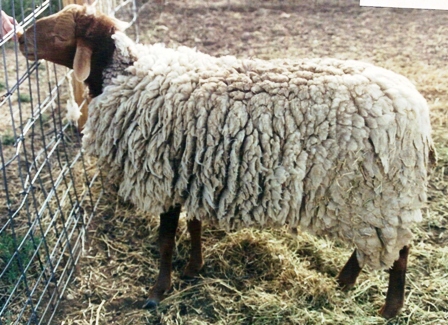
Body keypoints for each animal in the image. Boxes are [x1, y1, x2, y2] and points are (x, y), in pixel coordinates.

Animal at [19, 4, 436, 318]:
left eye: (58, 30)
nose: (20, 39)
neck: (125, 73)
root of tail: (417, 109)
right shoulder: (194, 171)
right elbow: (194, 226)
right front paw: (193, 268)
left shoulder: (163, 173)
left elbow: (166, 240)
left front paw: (157, 292)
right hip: (372, 198)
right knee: (376, 246)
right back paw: (344, 281)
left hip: (382, 193)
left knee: (399, 252)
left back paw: (389, 308)